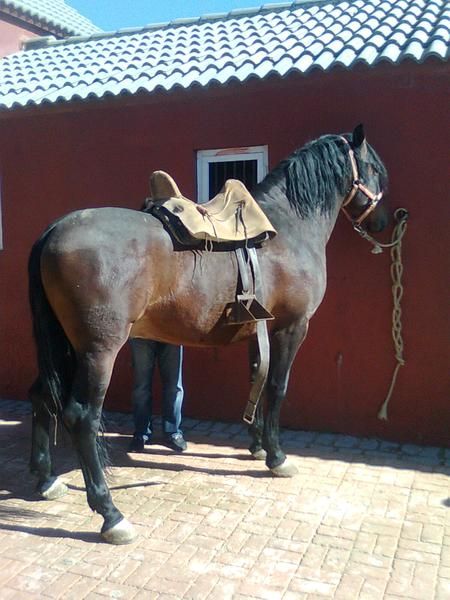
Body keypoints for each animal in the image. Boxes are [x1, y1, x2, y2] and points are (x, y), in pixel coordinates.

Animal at [28, 124, 386, 540]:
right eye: (374, 169)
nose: (385, 222)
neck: (288, 228)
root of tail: (55, 229)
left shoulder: (258, 329)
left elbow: (257, 378)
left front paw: (257, 445)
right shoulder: (291, 327)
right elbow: (277, 386)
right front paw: (277, 457)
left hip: (64, 345)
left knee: (42, 396)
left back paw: (46, 480)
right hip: (97, 351)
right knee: (82, 416)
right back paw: (110, 514)